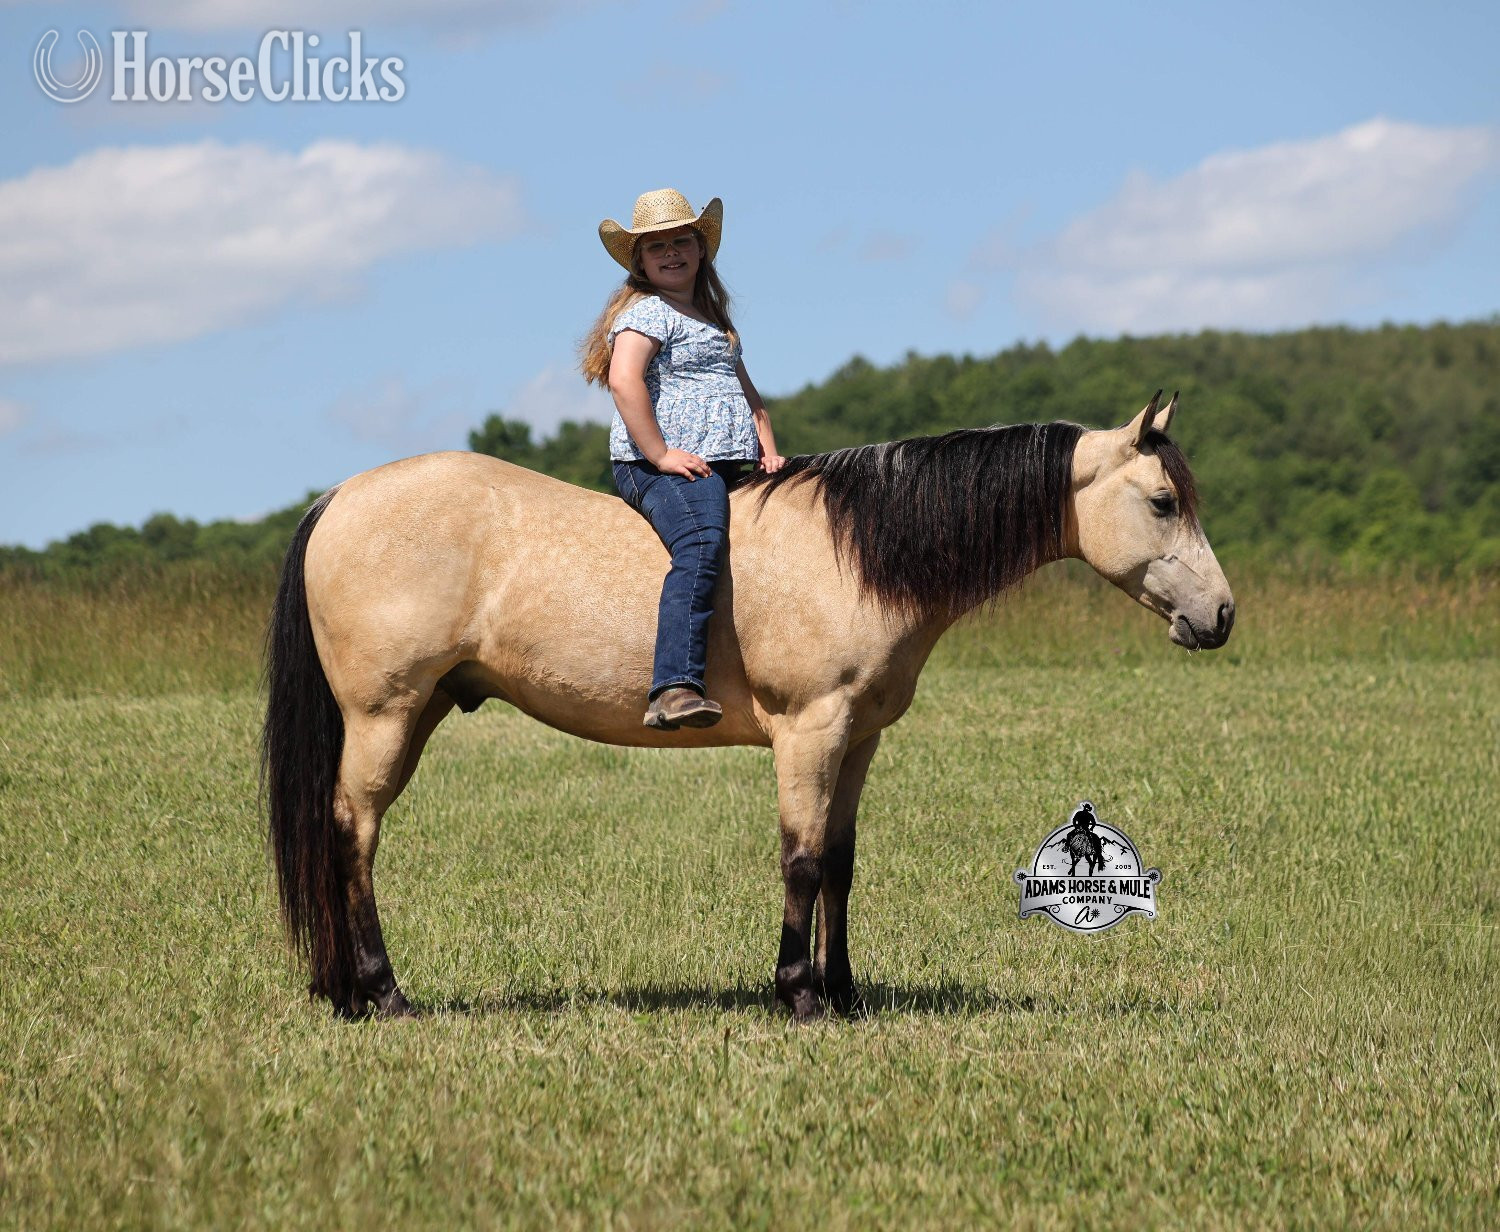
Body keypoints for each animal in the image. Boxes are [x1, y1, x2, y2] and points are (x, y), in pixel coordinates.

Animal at [262, 390, 1234, 1022]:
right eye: (1162, 501)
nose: (1221, 616)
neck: (857, 551)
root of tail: (340, 497)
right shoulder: (810, 731)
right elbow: (800, 862)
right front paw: (797, 996)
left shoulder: (858, 740)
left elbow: (840, 863)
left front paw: (844, 994)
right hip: (385, 716)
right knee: (353, 834)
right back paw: (382, 993)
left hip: (418, 710)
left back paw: (345, 992)